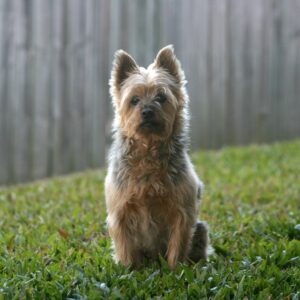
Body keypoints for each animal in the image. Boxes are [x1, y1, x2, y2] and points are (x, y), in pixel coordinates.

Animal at [104, 45, 210, 270]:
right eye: (134, 100)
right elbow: (125, 245)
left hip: (201, 229)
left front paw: (175, 269)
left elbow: (178, 242)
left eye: (161, 97)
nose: (147, 111)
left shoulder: (182, 212)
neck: (149, 149)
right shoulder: (120, 212)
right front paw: (129, 269)